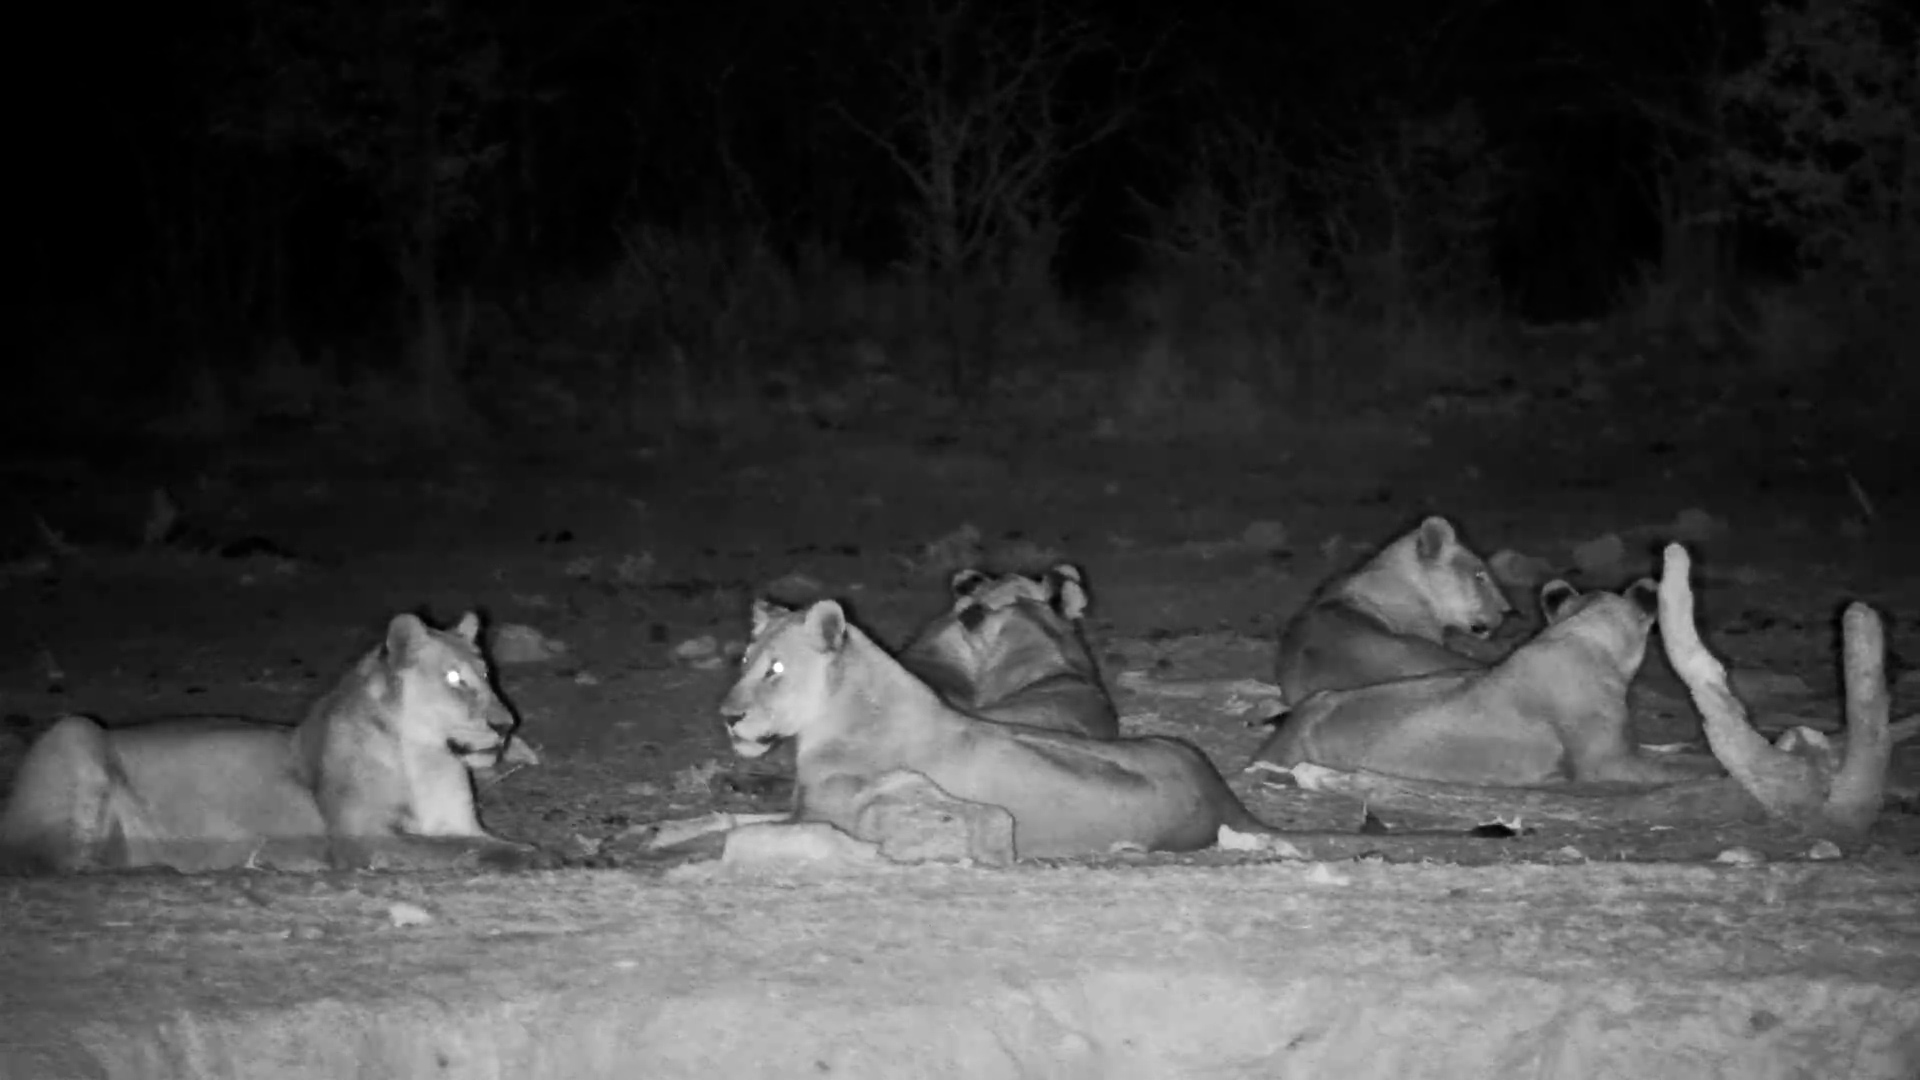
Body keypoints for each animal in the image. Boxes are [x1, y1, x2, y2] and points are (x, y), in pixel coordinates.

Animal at [0, 612, 548, 874]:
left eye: (487, 674)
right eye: (455, 680)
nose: (506, 724)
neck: (431, 758)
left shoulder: (460, 822)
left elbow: (475, 840)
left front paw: (525, 848)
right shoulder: (363, 838)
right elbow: (449, 849)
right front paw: (533, 856)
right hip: (74, 730)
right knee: (64, 863)